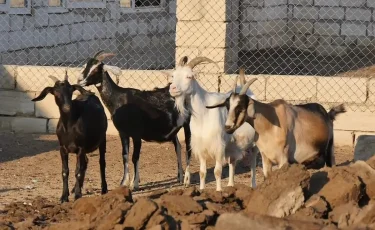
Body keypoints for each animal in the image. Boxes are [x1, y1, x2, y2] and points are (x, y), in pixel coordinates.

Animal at [31, 73, 108, 203]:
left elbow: (77, 171)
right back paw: (76, 188)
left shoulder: (80, 148)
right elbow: (65, 171)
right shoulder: (62, 148)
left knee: (101, 163)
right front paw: (64, 196)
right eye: (56, 93)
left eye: (71, 91)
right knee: (85, 163)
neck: (69, 126)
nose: (67, 107)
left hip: (102, 140)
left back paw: (104, 189)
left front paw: (77, 195)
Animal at [77, 50, 192, 190]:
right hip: (173, 130)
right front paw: (124, 182)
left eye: (96, 69)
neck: (119, 99)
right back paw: (179, 176)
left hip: (188, 124)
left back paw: (186, 180)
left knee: (187, 149)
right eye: (87, 66)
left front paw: (134, 183)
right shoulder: (123, 133)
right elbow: (125, 155)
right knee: (178, 146)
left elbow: (134, 157)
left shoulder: (137, 134)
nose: (80, 80)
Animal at [166, 55, 260, 190]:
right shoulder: (201, 147)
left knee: (253, 162)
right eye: (173, 75)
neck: (203, 114)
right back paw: (230, 184)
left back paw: (253, 185)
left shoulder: (219, 147)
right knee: (232, 161)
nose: (173, 89)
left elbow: (217, 171)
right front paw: (201, 189)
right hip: (233, 144)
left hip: (254, 143)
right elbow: (202, 172)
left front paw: (218, 190)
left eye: (189, 76)